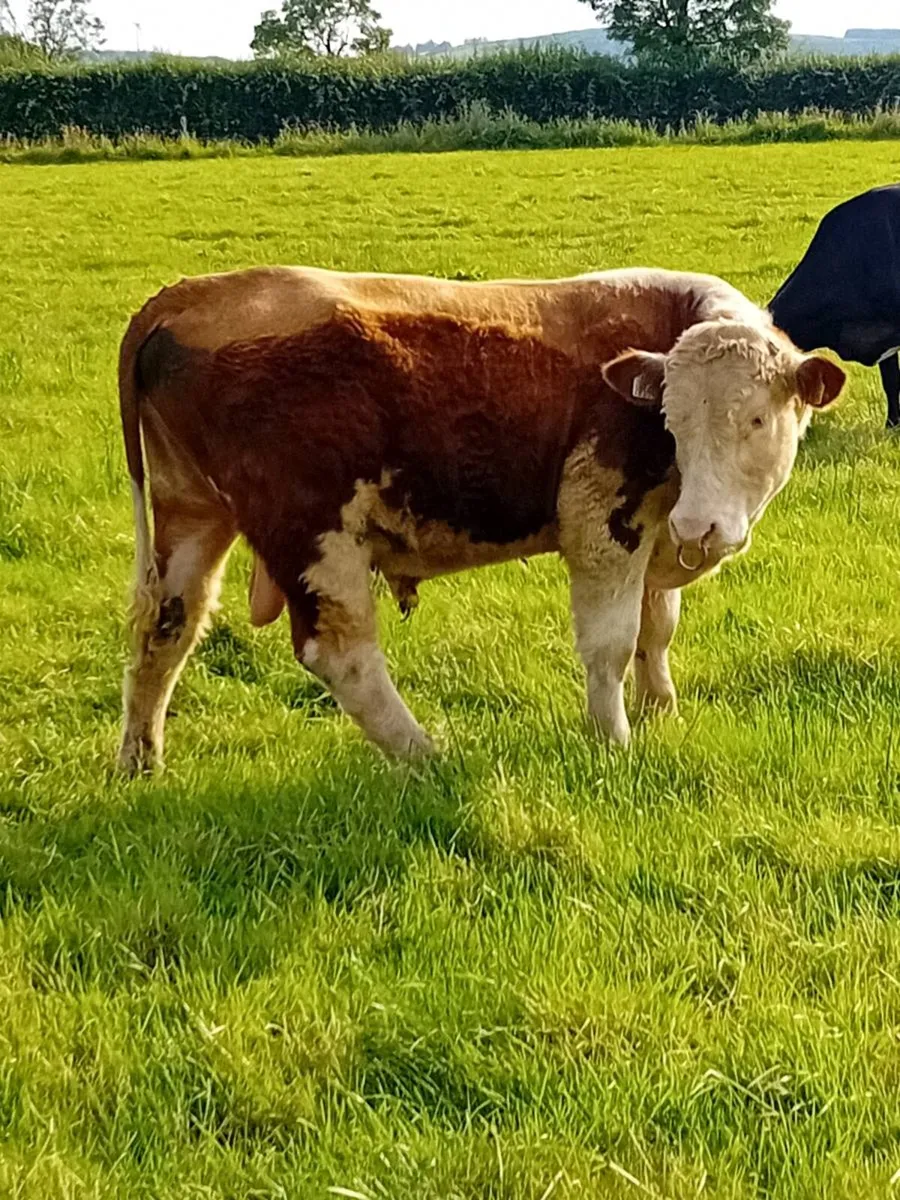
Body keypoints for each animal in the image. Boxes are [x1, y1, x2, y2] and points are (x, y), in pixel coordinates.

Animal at [116, 265, 845, 772]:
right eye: (672, 421)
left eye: (756, 419)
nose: (701, 529)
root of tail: (188, 295)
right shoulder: (604, 522)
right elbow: (610, 645)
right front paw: (614, 739)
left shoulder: (657, 529)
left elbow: (655, 630)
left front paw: (659, 711)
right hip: (314, 534)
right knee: (342, 655)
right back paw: (424, 756)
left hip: (193, 512)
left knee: (167, 630)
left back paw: (140, 763)